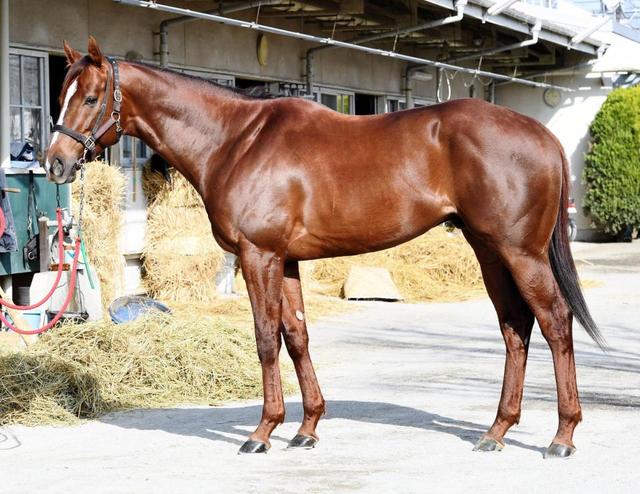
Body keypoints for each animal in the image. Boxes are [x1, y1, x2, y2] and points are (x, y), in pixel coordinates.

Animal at [45, 38, 604, 458]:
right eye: (61, 94)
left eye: (90, 98)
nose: (55, 163)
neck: (236, 141)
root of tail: (544, 136)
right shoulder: (286, 259)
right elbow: (297, 336)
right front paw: (306, 427)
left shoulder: (259, 256)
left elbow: (266, 339)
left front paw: (262, 431)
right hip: (490, 251)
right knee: (515, 327)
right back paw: (496, 431)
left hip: (520, 252)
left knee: (554, 321)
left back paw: (562, 435)